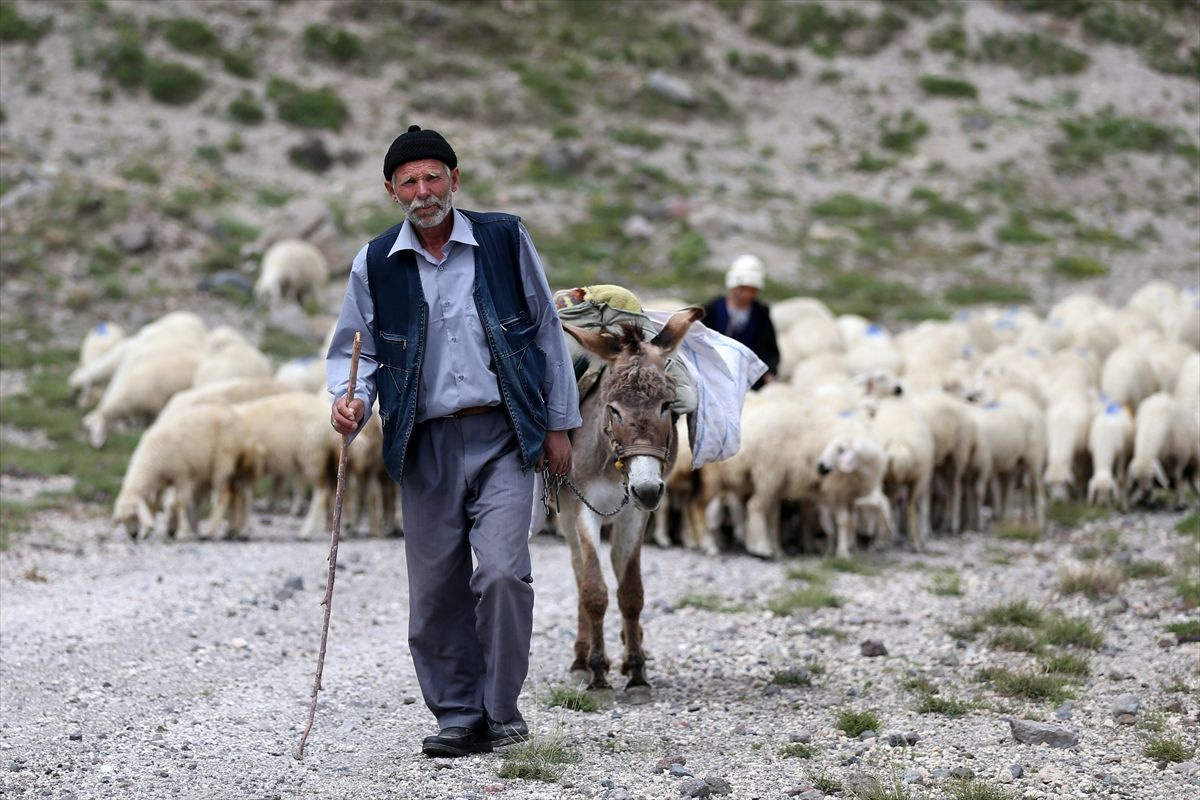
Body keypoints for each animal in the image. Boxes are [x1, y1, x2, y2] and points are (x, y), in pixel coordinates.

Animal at [112, 402, 262, 542]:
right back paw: (233, 531)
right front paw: (147, 532)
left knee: (225, 495)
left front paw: (182, 532)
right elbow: (154, 504)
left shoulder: (181, 475)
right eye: (122, 520)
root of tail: (243, 428)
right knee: (241, 493)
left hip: (223, 461)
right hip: (238, 465)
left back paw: (210, 531)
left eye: (134, 515)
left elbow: (180, 502)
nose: (133, 535)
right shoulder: (161, 482)